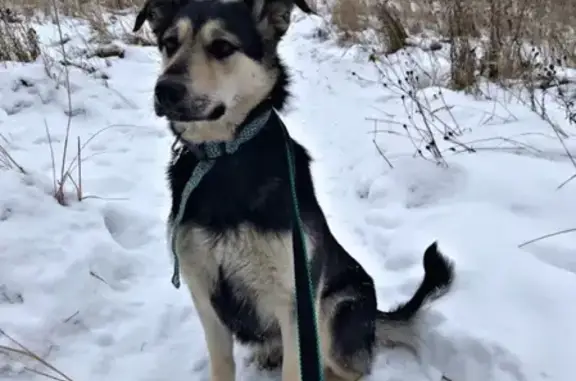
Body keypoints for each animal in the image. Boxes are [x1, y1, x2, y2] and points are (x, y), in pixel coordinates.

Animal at [133, 0, 456, 378]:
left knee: (348, 368)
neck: (225, 157)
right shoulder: (205, 297)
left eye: (222, 47)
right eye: (169, 43)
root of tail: (375, 319)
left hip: (336, 311)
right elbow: (222, 364)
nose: (165, 90)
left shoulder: (294, 303)